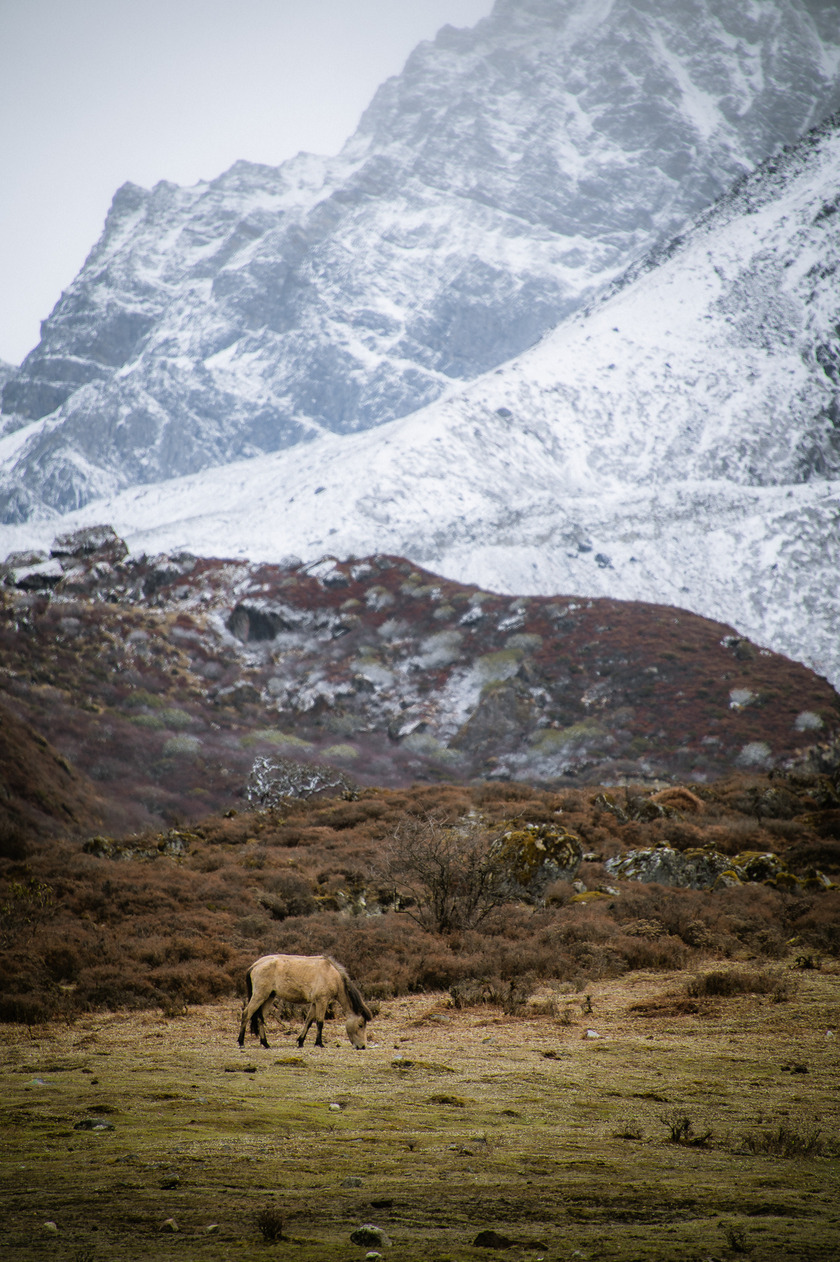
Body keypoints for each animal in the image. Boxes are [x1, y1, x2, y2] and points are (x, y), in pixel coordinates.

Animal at [233, 949, 368, 1049]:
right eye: (361, 1025)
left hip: (269, 997)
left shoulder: (315, 1003)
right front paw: (319, 1043)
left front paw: (301, 1041)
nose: (362, 1046)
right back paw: (241, 1042)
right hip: (259, 996)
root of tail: (255, 965)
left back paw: (265, 1043)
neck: (331, 974)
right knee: (246, 1013)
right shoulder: (322, 1001)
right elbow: (320, 1022)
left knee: (260, 1017)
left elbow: (308, 1021)